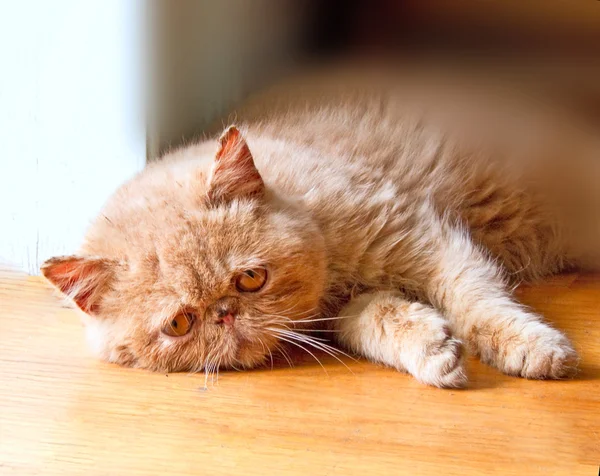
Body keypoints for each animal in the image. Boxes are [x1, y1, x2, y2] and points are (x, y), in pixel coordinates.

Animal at [39, 69, 596, 386]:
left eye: (250, 279)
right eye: (179, 324)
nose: (226, 315)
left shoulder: (423, 239)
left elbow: (478, 304)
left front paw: (531, 347)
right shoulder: (350, 306)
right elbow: (381, 320)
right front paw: (433, 352)